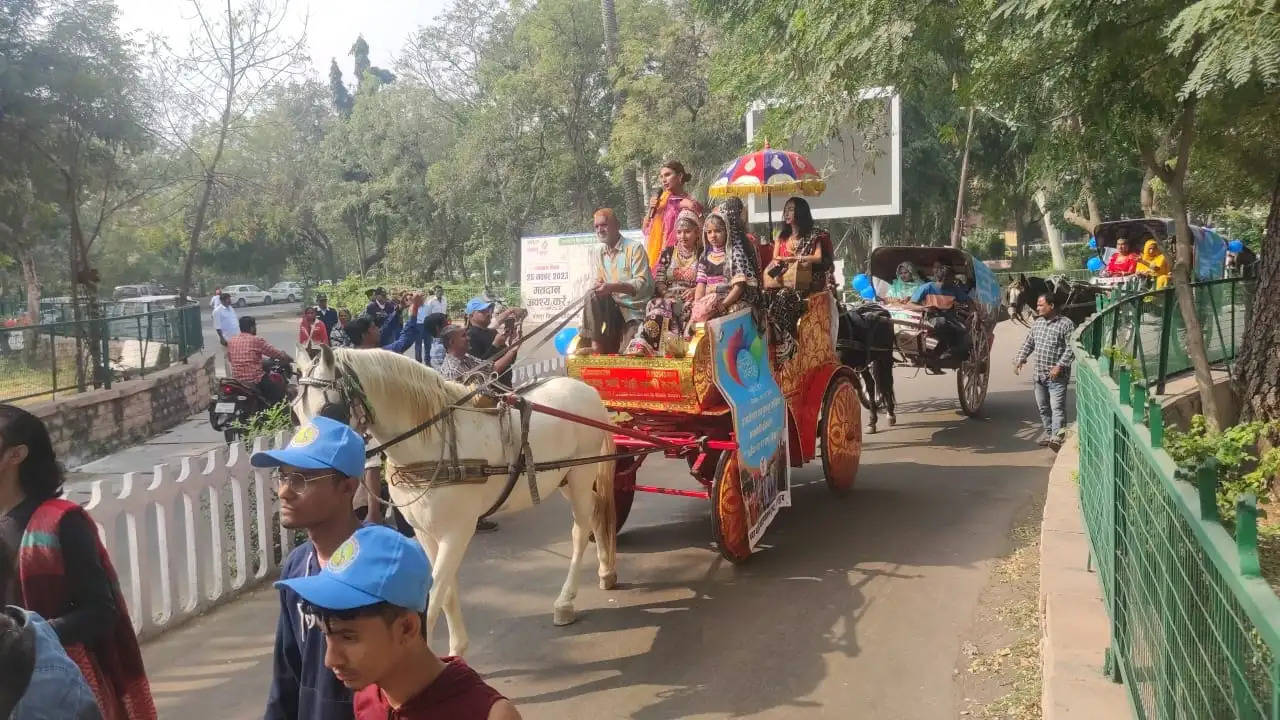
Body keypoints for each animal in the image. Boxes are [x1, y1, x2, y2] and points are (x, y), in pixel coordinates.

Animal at [293, 345, 616, 653]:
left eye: (330, 410)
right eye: (296, 412)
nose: (302, 475)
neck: (433, 444)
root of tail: (586, 389)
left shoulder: (457, 531)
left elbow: (433, 597)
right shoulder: (425, 533)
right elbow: (445, 591)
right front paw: (457, 648)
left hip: (580, 473)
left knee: (579, 529)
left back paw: (566, 601)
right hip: (563, 478)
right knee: (597, 507)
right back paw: (606, 569)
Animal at [834, 302, 896, 430]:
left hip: (885, 356)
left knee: (887, 382)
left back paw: (890, 414)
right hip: (864, 362)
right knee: (871, 384)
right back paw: (872, 421)